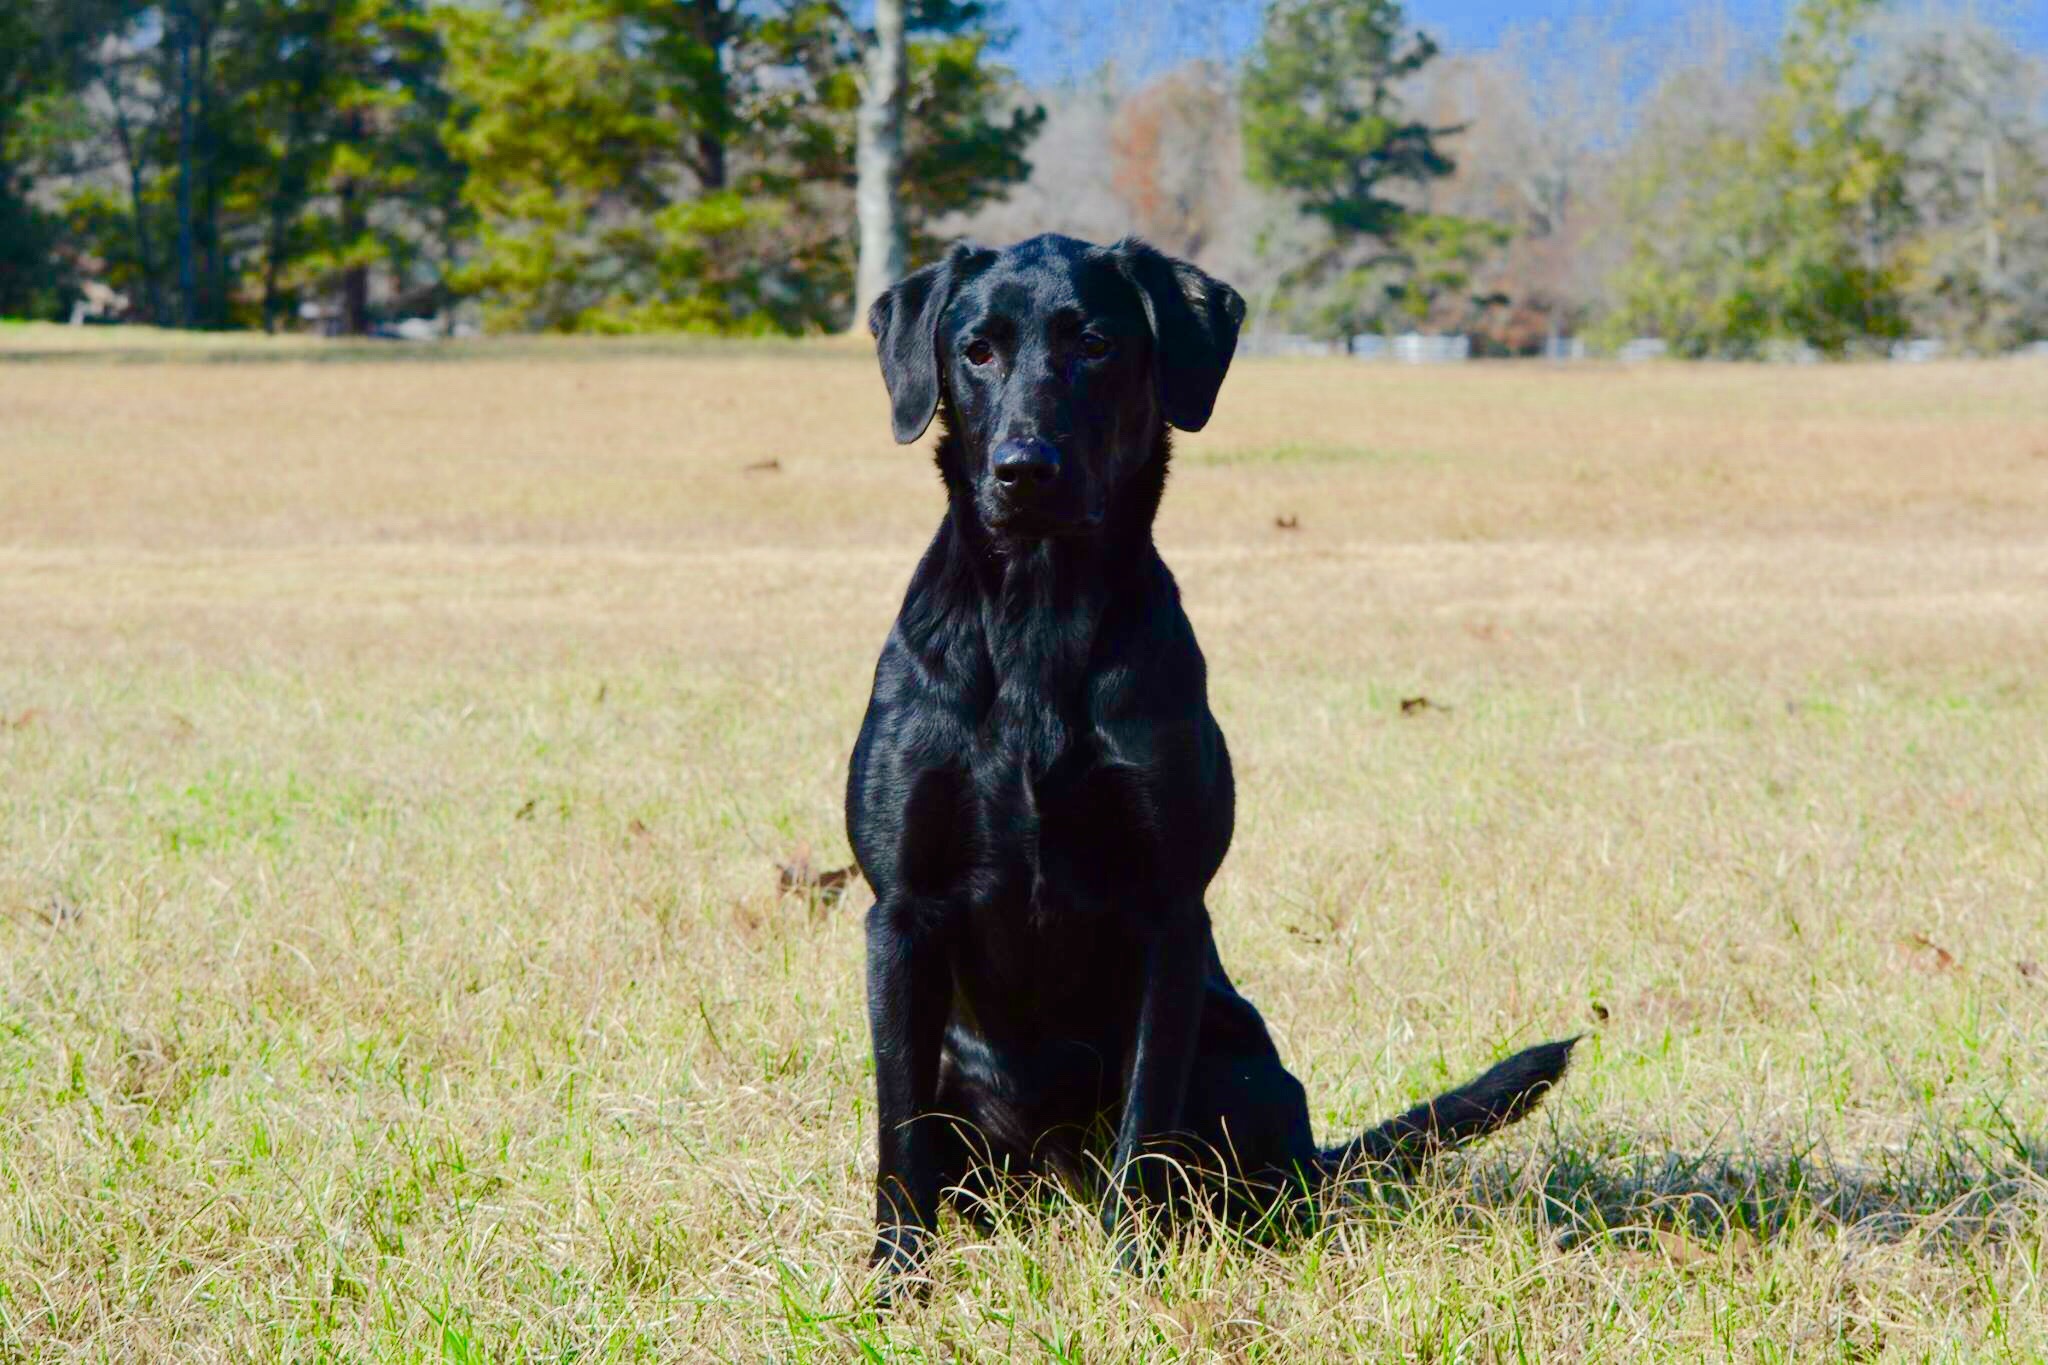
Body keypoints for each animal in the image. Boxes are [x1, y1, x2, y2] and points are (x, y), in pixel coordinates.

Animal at [843, 237, 1564, 1301]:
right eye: (976, 350)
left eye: (1096, 344)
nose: (1025, 470)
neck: (1037, 619)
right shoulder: (901, 912)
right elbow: (901, 1134)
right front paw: (896, 1283)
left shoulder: (1169, 913)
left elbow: (1147, 1122)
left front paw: (1133, 1271)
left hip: (1244, 1065)